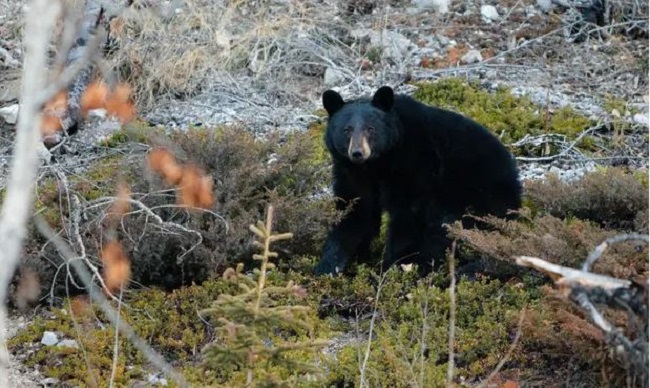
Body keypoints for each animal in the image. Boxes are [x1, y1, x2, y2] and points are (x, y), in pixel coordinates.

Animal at [314, 85, 520, 276]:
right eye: (347, 130)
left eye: (370, 129)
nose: (357, 153)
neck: (379, 163)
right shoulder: (352, 172)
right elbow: (355, 210)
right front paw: (328, 265)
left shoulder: (416, 165)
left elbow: (408, 216)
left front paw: (393, 266)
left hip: (477, 195)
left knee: (446, 229)